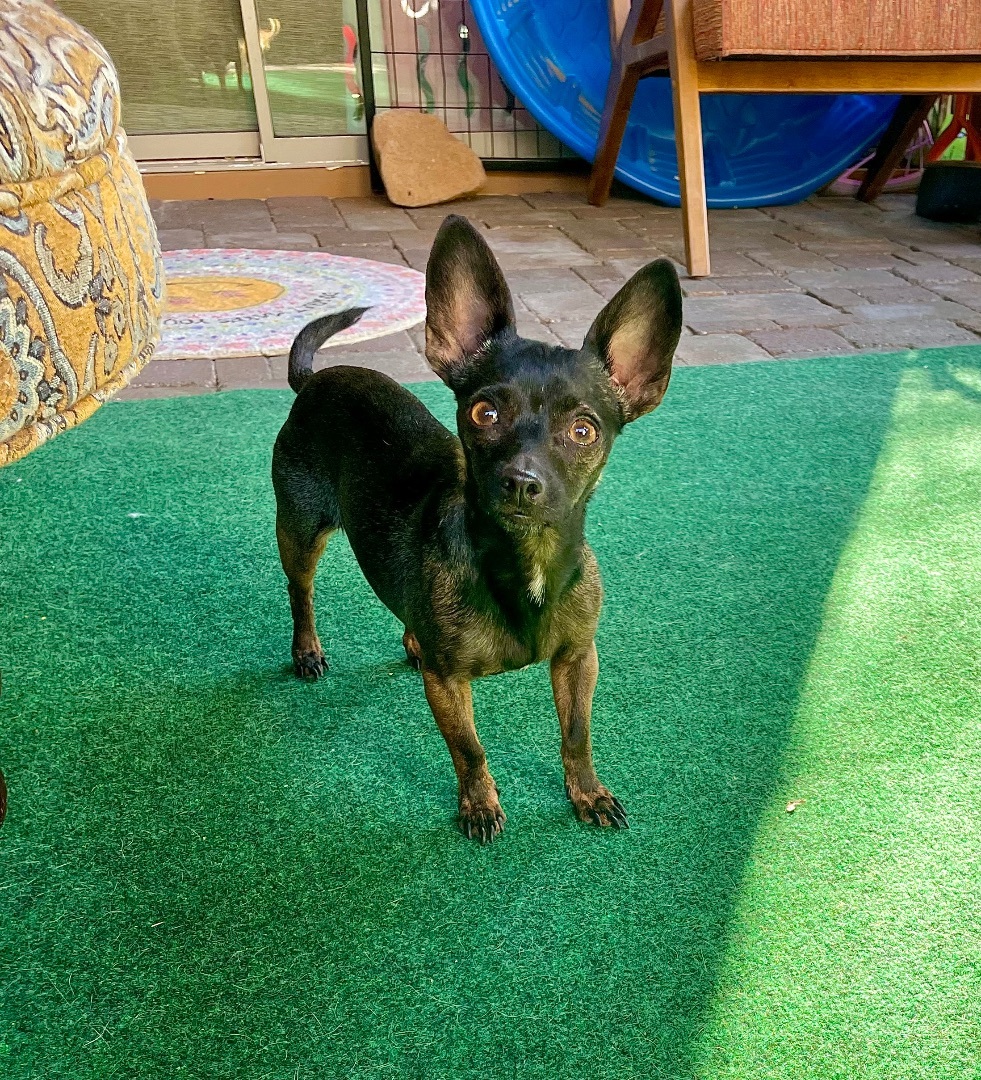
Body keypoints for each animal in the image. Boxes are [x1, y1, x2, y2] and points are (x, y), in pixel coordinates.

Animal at [270, 214, 682, 842]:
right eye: (483, 413)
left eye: (584, 430)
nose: (521, 481)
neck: (523, 566)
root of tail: (313, 381)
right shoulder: (448, 685)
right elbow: (469, 748)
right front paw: (479, 804)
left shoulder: (578, 660)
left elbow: (576, 735)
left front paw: (587, 793)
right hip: (300, 528)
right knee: (301, 593)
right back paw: (307, 651)